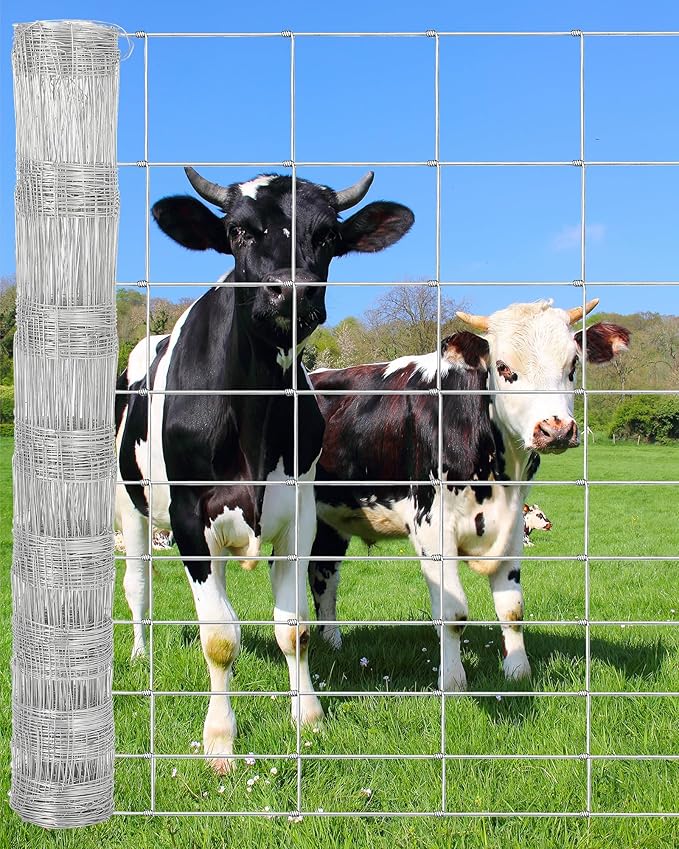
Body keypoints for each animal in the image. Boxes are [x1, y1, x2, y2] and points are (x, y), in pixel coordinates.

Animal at [115, 167, 414, 772]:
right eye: (238, 231)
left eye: (328, 235)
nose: (291, 291)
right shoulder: (188, 518)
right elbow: (218, 638)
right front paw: (220, 741)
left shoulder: (299, 513)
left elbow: (294, 628)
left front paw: (310, 717)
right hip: (128, 503)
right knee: (137, 585)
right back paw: (138, 652)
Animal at [307, 300, 630, 691]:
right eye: (503, 367)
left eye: (572, 366)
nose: (555, 429)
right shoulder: (431, 526)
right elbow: (453, 612)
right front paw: (453, 680)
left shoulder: (512, 526)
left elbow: (512, 608)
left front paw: (518, 671)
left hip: (329, 521)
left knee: (323, 576)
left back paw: (333, 644)